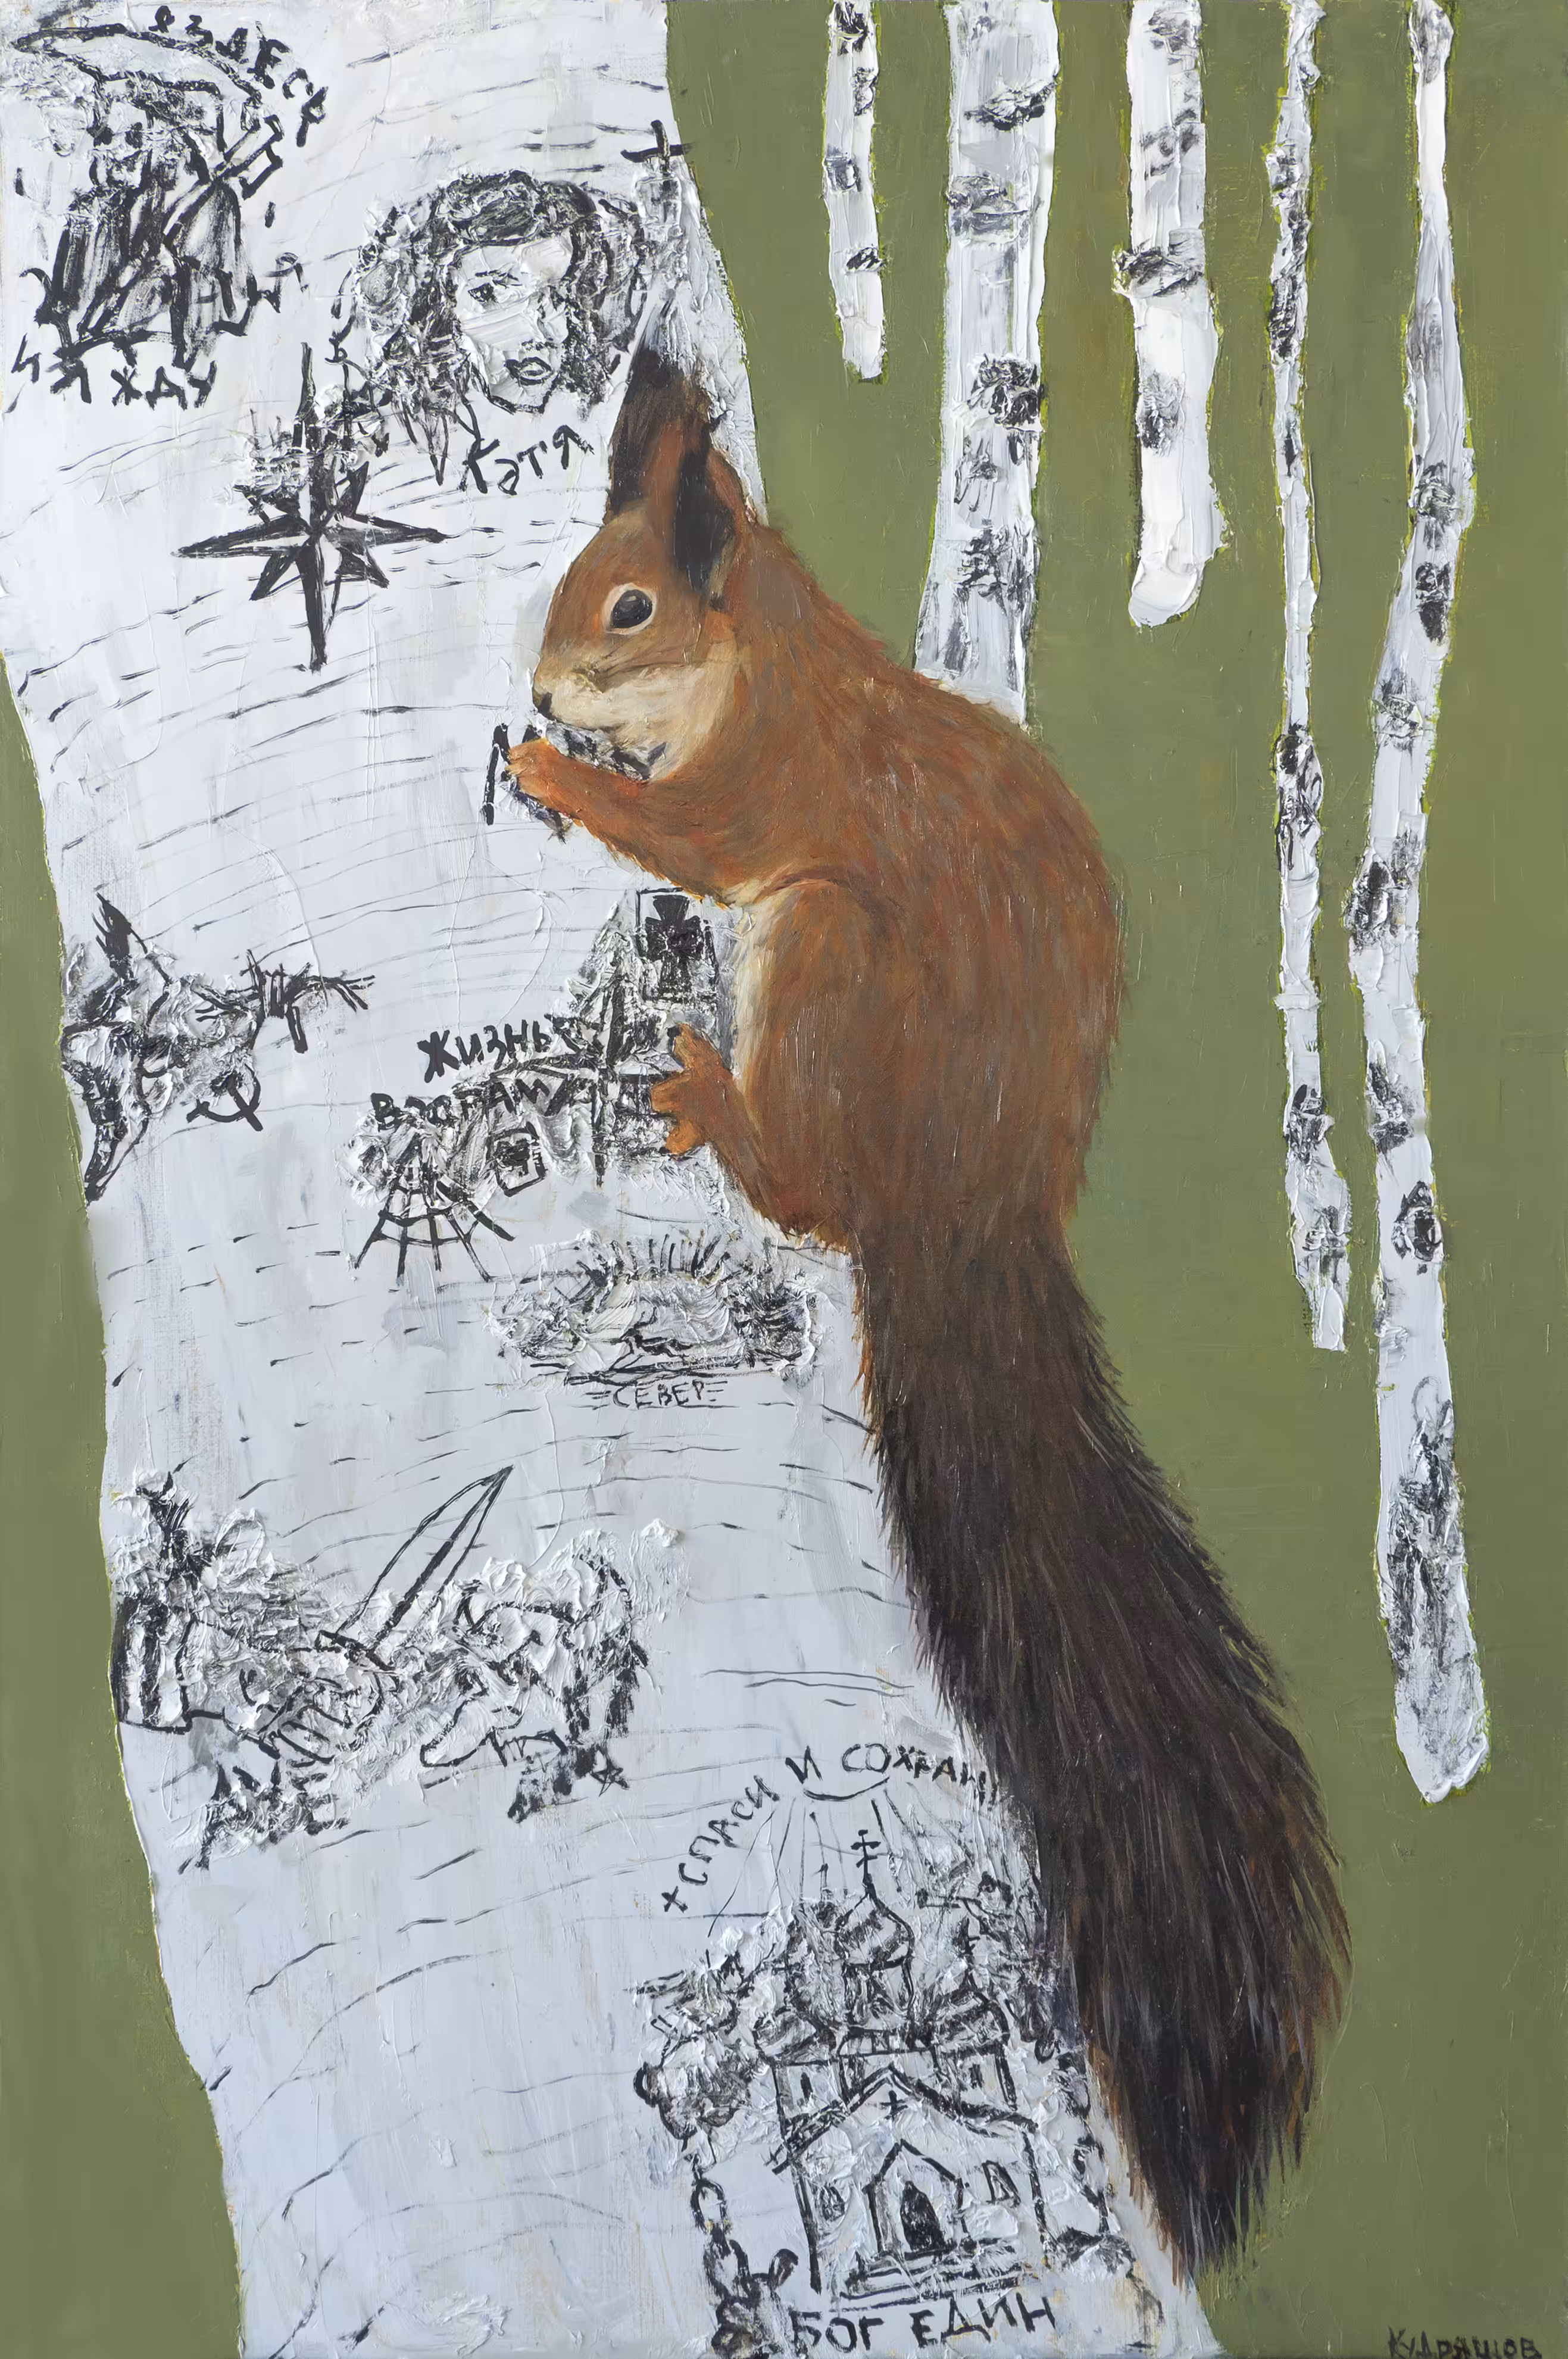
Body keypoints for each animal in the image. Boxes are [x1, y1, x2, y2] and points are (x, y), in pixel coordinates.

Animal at [509, 348, 1349, 2278]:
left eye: (628, 607)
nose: (540, 685)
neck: (775, 666)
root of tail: (972, 1210)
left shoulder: (763, 792)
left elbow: (678, 829)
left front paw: (552, 767)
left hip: (821, 957)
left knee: (811, 1192)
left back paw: (723, 1107)